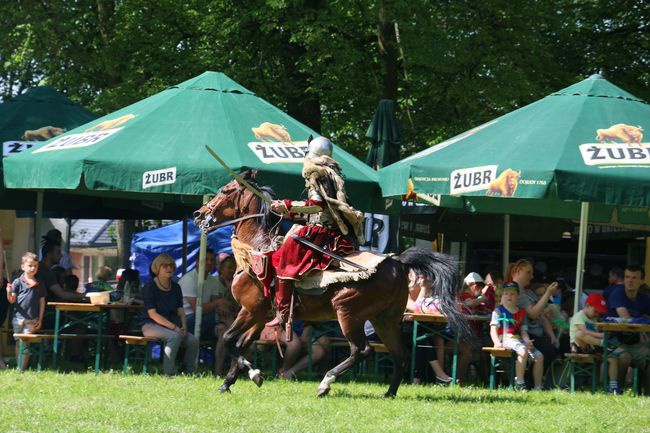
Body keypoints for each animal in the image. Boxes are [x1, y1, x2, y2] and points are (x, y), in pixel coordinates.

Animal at [192, 170, 466, 396]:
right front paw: (229, 382)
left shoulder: (251, 310)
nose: (199, 214)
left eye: (225, 190)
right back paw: (389, 393)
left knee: (362, 350)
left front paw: (253, 374)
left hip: (348, 313)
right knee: (399, 355)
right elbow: (242, 344)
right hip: (384, 319)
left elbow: (230, 339)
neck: (255, 249)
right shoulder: (260, 315)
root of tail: (397, 262)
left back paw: (326, 382)